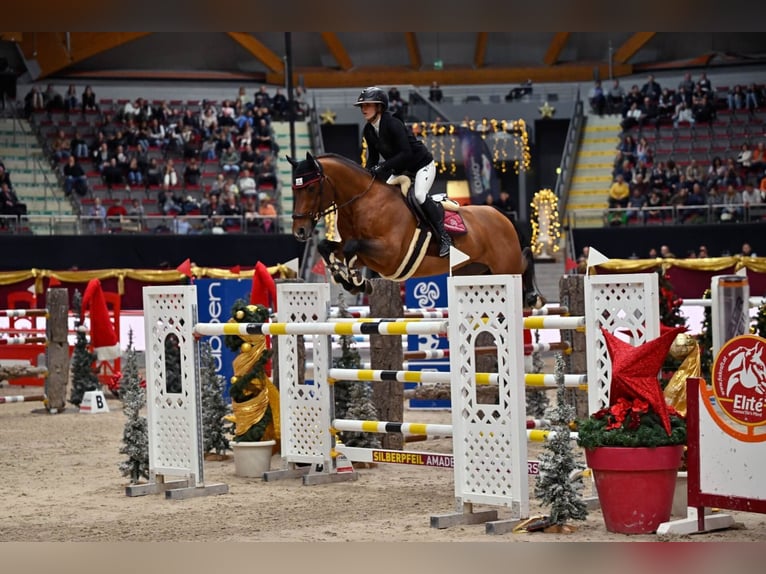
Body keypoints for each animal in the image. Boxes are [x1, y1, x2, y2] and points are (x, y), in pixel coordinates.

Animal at [288, 151, 544, 308]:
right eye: (294, 189)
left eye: (311, 189)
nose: (299, 230)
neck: (361, 202)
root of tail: (500, 214)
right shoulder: (369, 256)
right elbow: (328, 247)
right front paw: (348, 280)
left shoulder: (390, 255)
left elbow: (352, 248)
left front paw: (356, 281)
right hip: (478, 270)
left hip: (506, 265)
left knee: (524, 259)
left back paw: (534, 296)